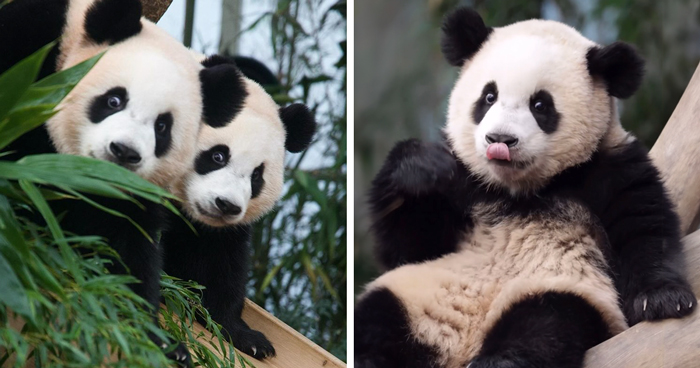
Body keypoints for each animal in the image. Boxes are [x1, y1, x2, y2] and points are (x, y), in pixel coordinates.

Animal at [160, 55, 316, 360]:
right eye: (218, 156)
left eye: (257, 176)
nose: (226, 205)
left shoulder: (223, 231)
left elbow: (223, 268)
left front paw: (247, 337)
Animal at [358, 6, 696, 368]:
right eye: (488, 96)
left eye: (540, 105)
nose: (500, 139)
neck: (519, 189)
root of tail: (463, 344)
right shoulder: (465, 185)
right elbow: (410, 246)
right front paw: (421, 168)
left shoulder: (609, 168)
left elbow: (643, 227)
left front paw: (662, 299)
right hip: (421, 295)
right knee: (379, 317)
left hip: (556, 287)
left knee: (544, 325)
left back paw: (498, 359)